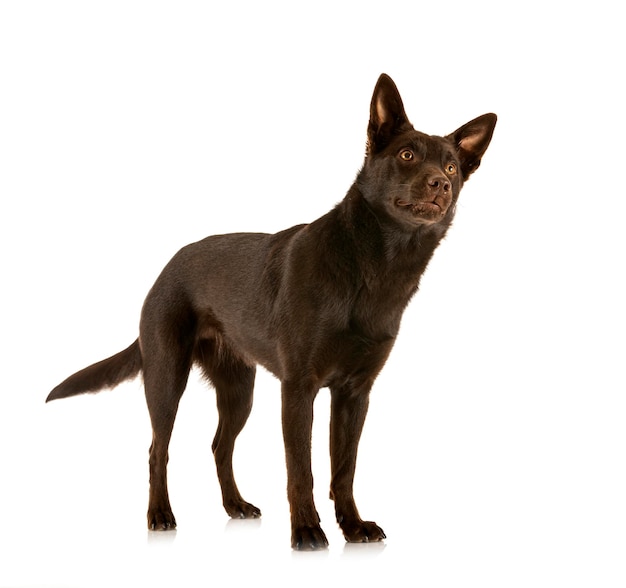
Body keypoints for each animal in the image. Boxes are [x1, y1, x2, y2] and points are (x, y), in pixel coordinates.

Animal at [47, 72, 498, 548]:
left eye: (452, 167)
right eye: (407, 155)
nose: (440, 184)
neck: (376, 264)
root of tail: (167, 268)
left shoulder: (354, 393)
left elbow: (344, 469)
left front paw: (353, 526)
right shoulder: (299, 389)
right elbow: (301, 470)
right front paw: (307, 530)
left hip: (239, 389)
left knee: (219, 445)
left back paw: (235, 505)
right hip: (167, 376)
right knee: (158, 450)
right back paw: (160, 514)